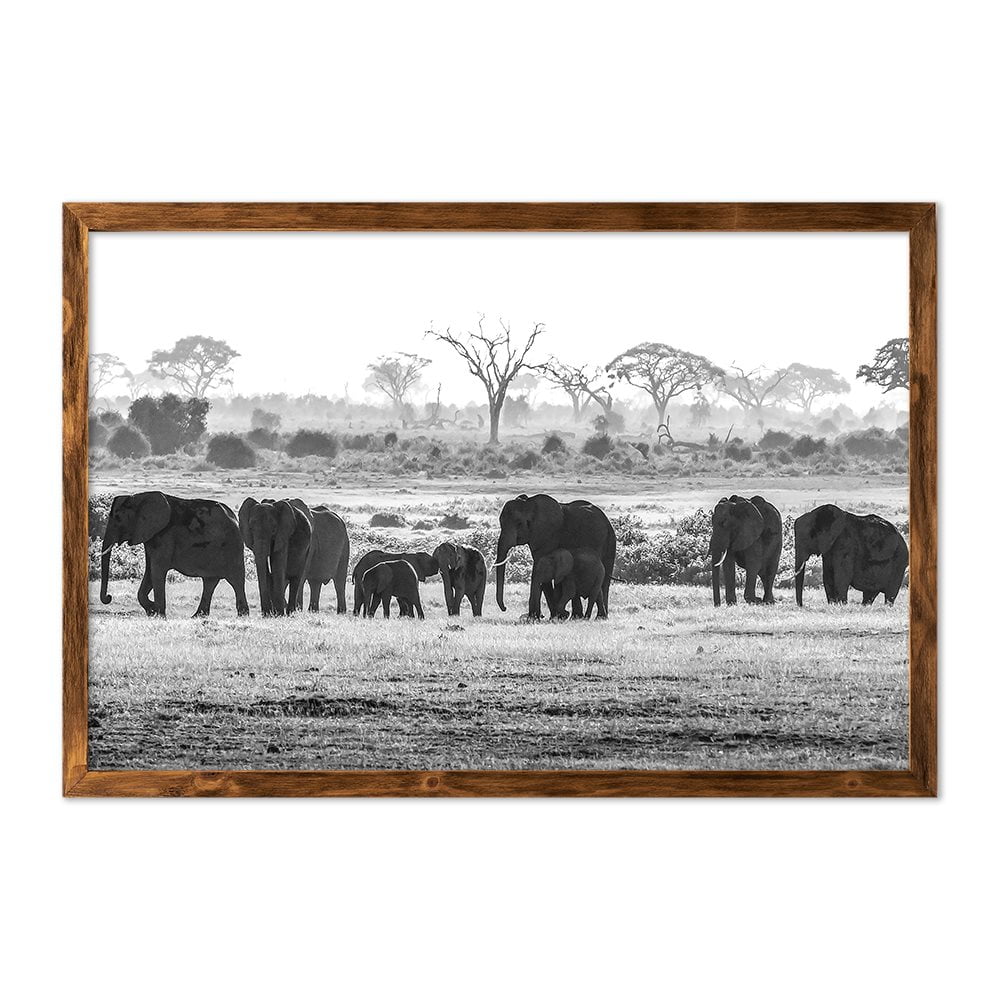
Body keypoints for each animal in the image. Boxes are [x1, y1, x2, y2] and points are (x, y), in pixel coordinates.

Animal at [99, 491, 249, 617]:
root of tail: (234, 518)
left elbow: (157, 570)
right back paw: (197, 616)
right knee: (210, 582)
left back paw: (242, 616)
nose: (109, 597)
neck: (138, 497)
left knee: (236, 581)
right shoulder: (151, 536)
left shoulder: (164, 536)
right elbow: (150, 570)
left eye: (118, 518)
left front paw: (159, 615)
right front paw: (152, 610)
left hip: (232, 547)